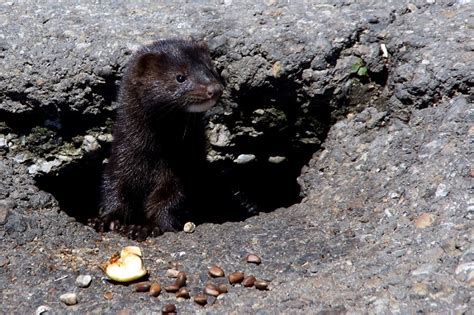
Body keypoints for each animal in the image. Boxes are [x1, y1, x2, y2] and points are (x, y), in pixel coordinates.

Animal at [98, 39, 224, 241]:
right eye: (180, 77)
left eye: (211, 69)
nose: (214, 89)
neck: (155, 152)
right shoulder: (121, 156)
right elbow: (115, 189)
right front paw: (106, 219)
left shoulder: (184, 169)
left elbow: (169, 199)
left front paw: (144, 227)